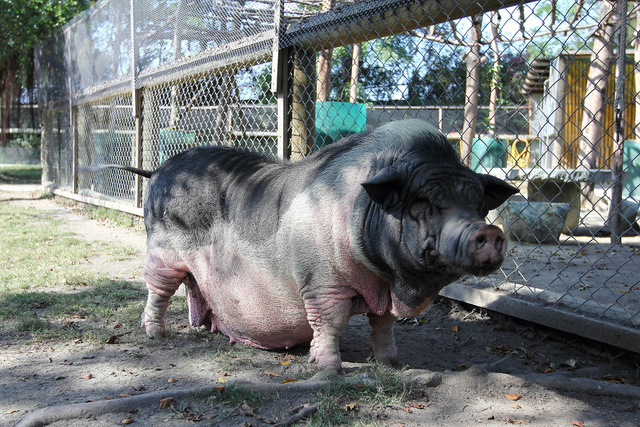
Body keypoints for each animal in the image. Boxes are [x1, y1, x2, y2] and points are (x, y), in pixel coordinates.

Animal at [101, 119, 520, 374]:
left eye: (478, 204)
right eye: (424, 202)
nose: (488, 232)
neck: (392, 281)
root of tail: (157, 169)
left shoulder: (383, 292)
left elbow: (383, 324)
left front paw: (392, 363)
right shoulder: (321, 281)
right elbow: (330, 322)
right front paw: (328, 369)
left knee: (193, 289)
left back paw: (205, 328)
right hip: (161, 253)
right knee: (157, 291)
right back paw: (155, 335)